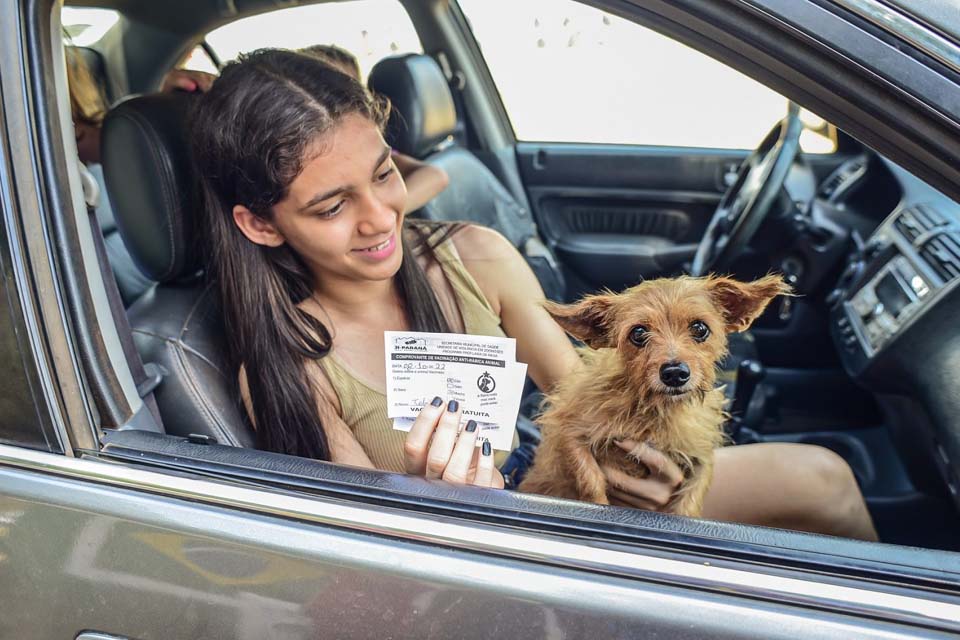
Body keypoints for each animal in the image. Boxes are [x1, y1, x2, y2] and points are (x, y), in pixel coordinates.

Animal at [520, 274, 792, 516]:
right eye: (638, 333)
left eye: (700, 328)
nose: (674, 373)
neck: (657, 411)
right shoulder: (570, 431)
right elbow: (590, 480)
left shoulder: (700, 456)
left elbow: (689, 502)